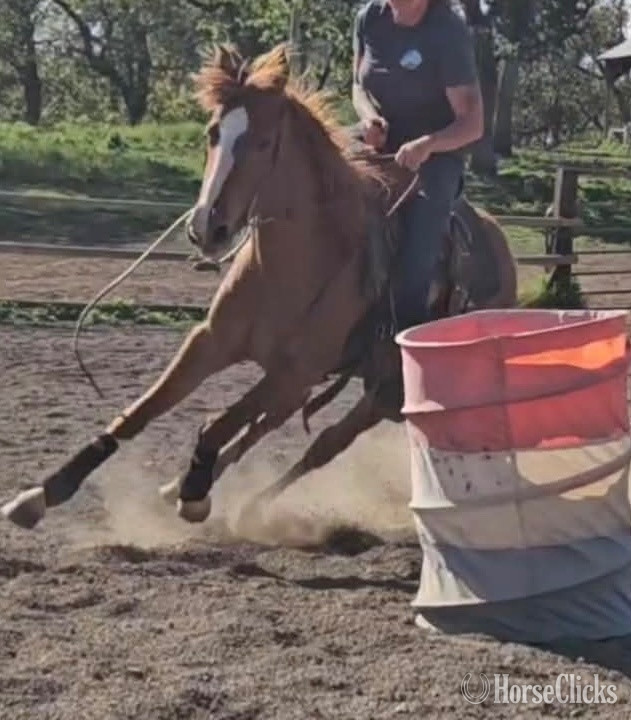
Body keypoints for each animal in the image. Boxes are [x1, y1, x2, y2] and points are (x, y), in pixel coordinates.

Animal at [1, 43, 517, 531]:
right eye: (213, 133)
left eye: (265, 142)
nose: (207, 229)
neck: (291, 268)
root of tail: (504, 259)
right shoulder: (212, 342)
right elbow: (141, 412)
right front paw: (41, 494)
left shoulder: (293, 370)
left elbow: (217, 423)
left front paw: (195, 492)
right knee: (267, 428)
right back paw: (178, 488)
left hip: (383, 391)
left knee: (323, 444)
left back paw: (241, 504)